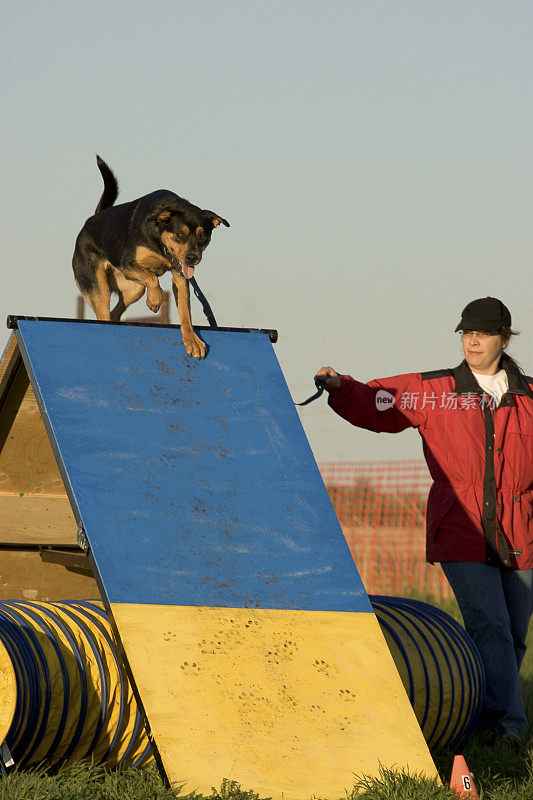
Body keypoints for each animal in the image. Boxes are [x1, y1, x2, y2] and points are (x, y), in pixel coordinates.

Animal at [71, 156, 228, 356]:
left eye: (203, 237)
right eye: (180, 234)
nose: (192, 258)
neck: (159, 242)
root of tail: (92, 220)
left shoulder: (181, 278)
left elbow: (185, 311)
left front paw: (192, 340)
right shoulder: (128, 263)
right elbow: (152, 278)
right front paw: (154, 300)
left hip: (133, 288)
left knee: (115, 312)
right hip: (98, 287)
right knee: (104, 313)